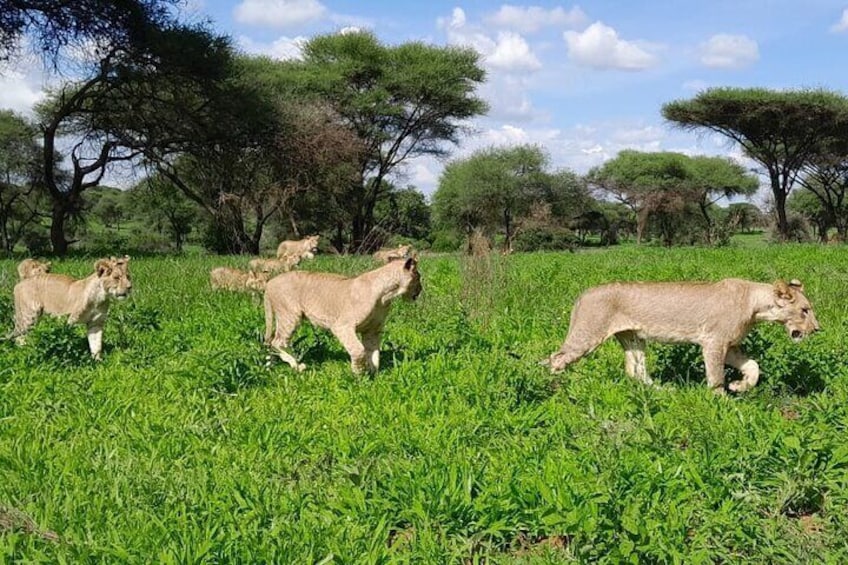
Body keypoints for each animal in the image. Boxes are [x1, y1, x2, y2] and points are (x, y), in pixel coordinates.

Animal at [264, 254, 420, 370]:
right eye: (419, 277)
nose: (421, 289)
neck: (387, 295)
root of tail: (269, 282)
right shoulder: (342, 326)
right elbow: (358, 350)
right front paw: (359, 374)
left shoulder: (372, 330)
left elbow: (374, 353)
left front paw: (373, 377)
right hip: (289, 316)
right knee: (277, 342)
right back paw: (296, 365)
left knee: (272, 340)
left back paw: (272, 364)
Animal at [548, 278, 820, 392]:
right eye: (805, 310)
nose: (818, 329)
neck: (755, 305)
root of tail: (583, 293)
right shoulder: (713, 342)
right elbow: (716, 377)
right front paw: (721, 403)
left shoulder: (730, 346)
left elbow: (753, 365)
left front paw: (740, 386)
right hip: (587, 335)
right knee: (556, 359)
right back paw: (555, 387)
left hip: (633, 338)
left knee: (637, 372)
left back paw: (664, 391)